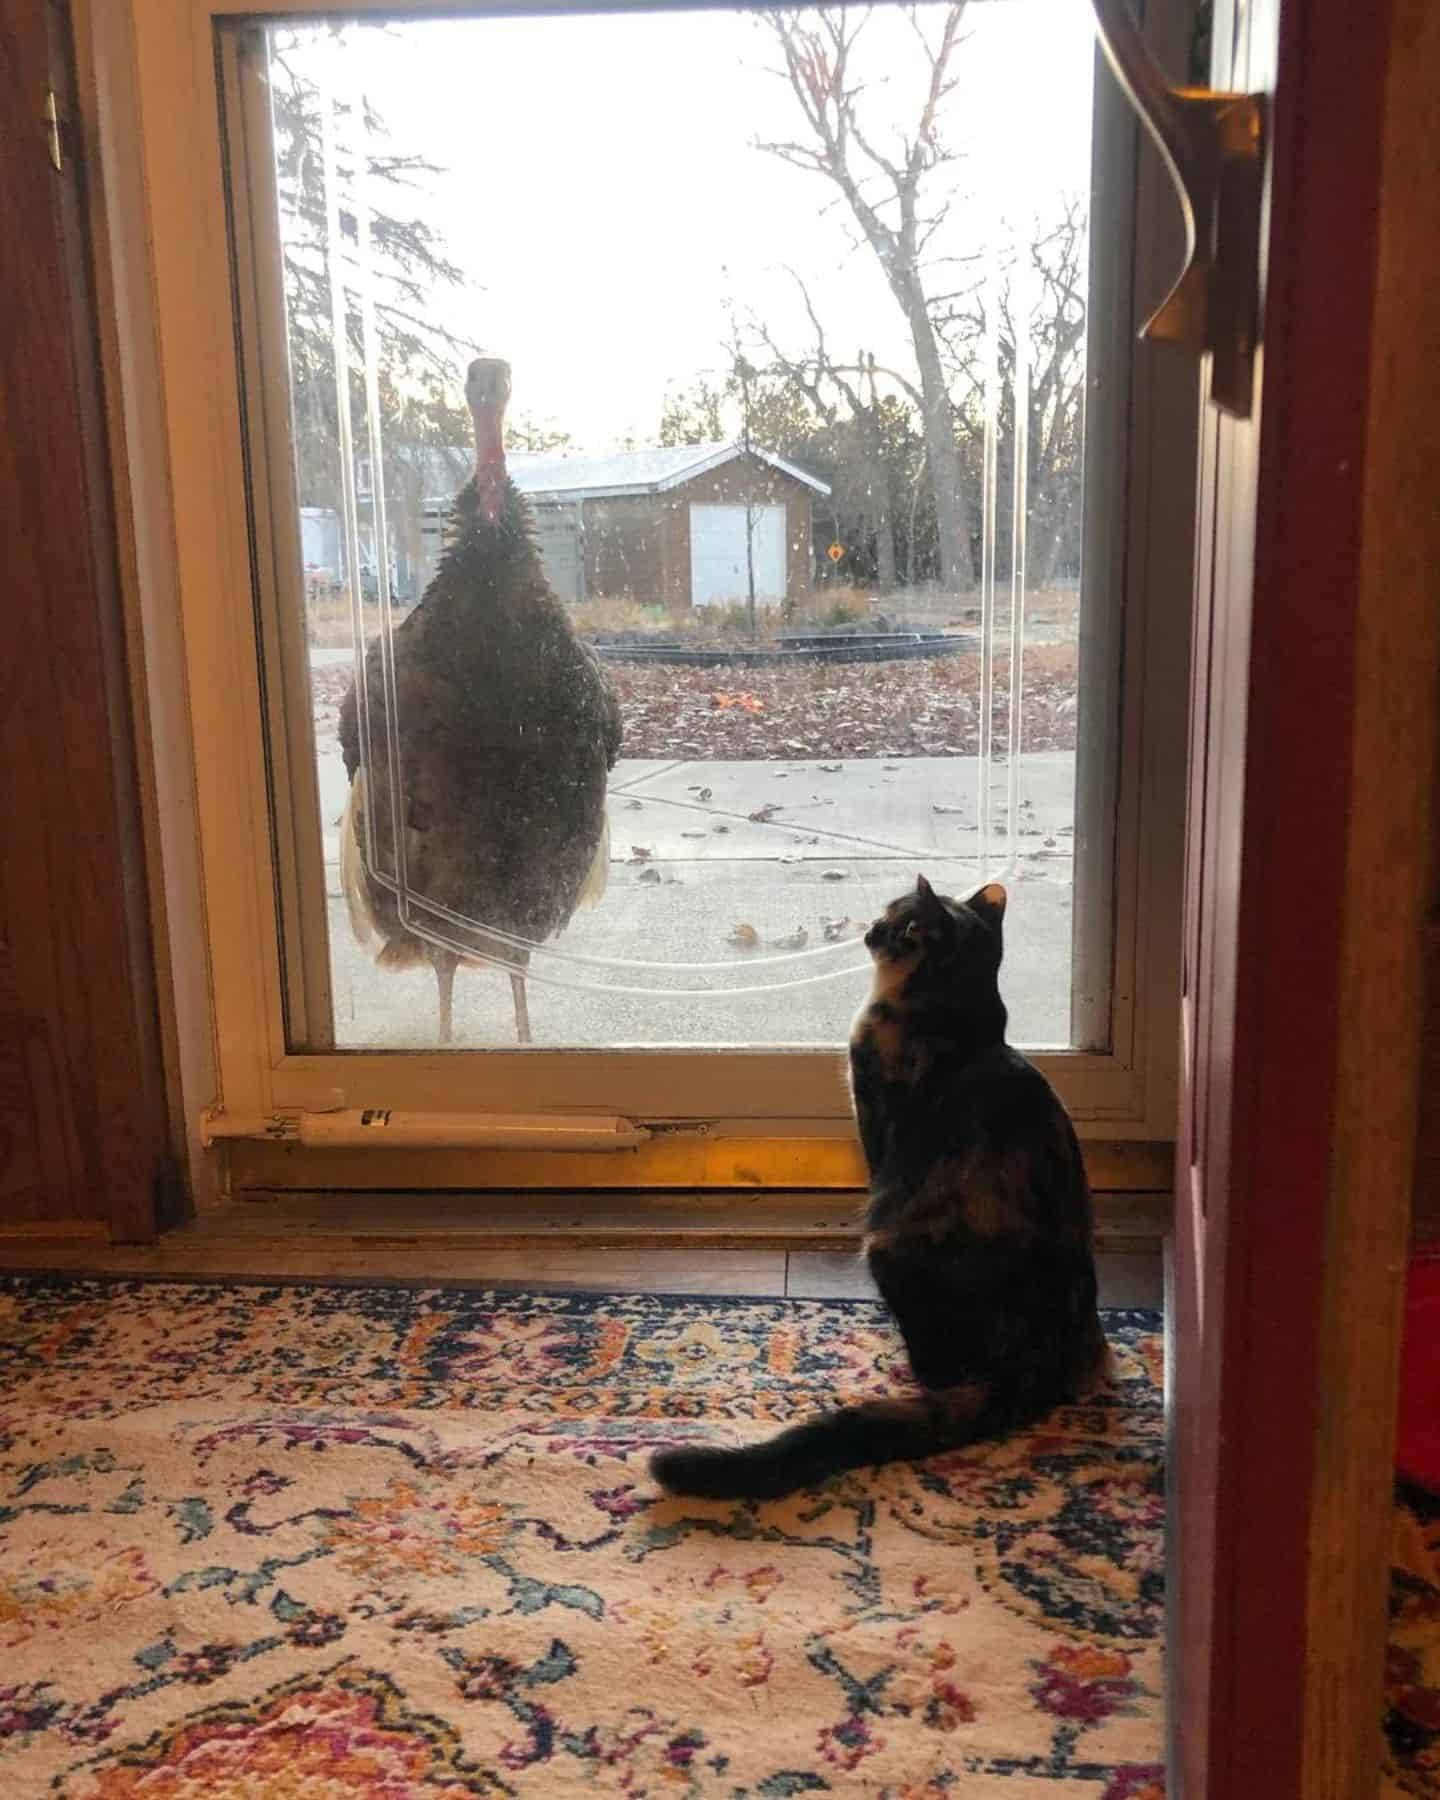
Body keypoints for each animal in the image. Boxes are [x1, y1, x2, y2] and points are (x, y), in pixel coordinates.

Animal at [648, 878, 1108, 1497]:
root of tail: (1042, 1348)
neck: (958, 1013)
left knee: (938, 1367)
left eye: (898, 921)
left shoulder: (873, 1115)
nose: (868, 928)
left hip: (888, 1247)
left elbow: (874, 1166)